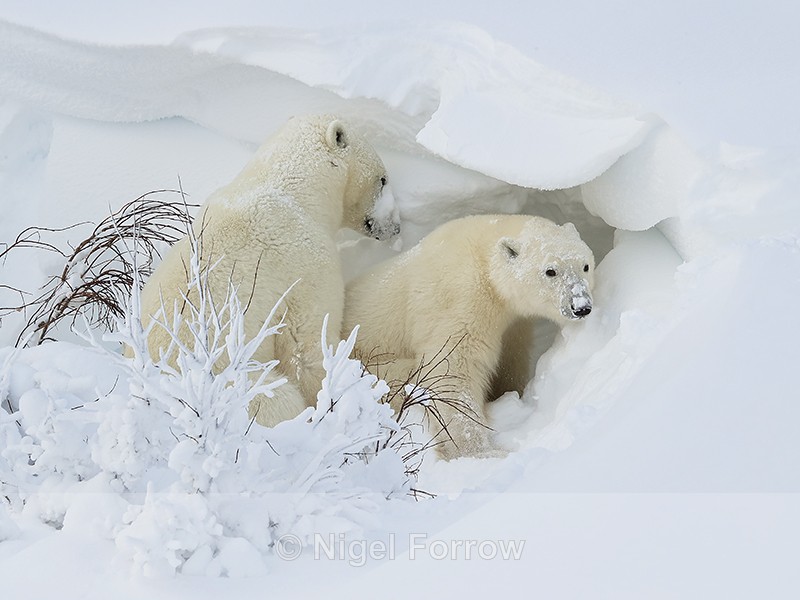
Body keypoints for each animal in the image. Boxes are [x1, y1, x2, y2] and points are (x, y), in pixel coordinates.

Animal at [137, 114, 400, 426]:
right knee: (277, 399)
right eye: (382, 179)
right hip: (235, 386)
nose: (396, 226)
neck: (294, 190)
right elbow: (306, 345)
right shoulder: (304, 260)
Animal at [343, 214, 594, 459]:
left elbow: (512, 357)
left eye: (585, 265)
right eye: (550, 271)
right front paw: (480, 451)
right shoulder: (460, 297)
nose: (581, 307)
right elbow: (453, 367)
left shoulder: (514, 322)